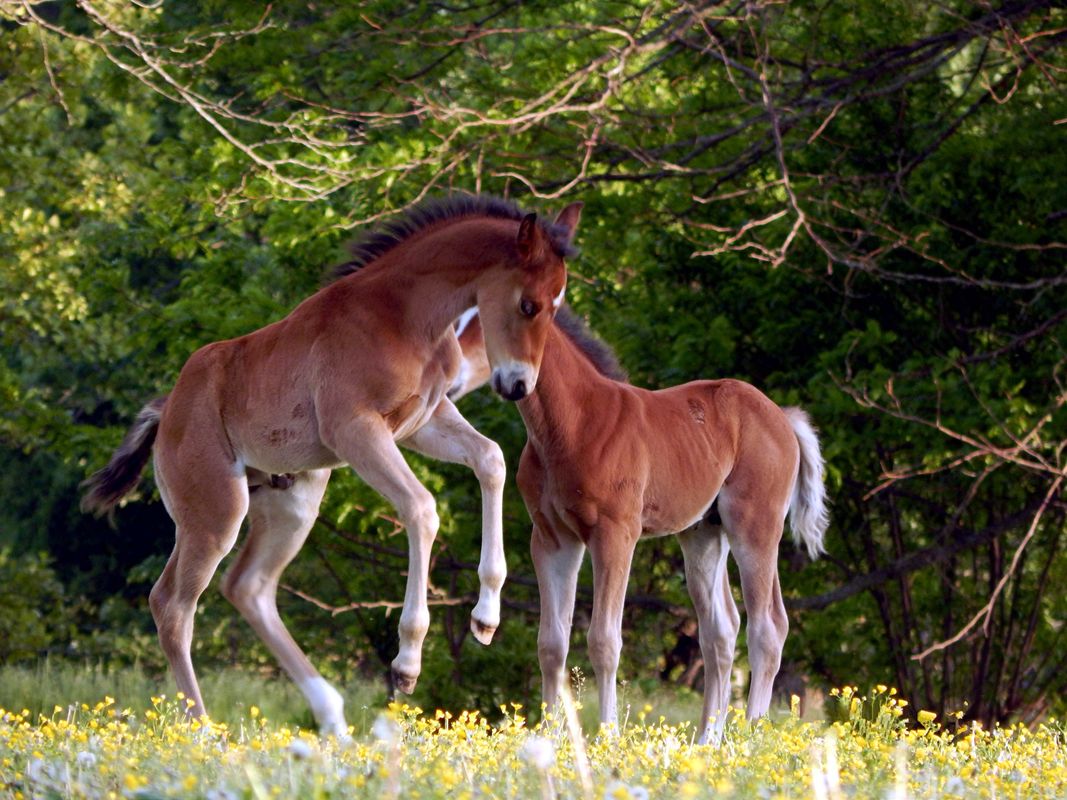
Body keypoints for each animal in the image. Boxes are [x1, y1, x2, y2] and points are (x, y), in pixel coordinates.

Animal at [83, 196, 584, 738]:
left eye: (557, 307)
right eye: (528, 304)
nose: (518, 385)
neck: (405, 313)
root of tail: (166, 409)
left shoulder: (423, 422)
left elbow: (490, 459)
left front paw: (486, 618)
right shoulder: (356, 430)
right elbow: (422, 509)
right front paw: (407, 663)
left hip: (294, 503)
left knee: (248, 587)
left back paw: (334, 722)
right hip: (215, 512)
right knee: (172, 605)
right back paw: (204, 733)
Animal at [446, 309, 827, 746]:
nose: (452, 374)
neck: (574, 423)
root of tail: (783, 418)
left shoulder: (615, 535)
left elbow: (604, 641)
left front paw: (608, 738)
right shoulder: (551, 539)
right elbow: (551, 644)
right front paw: (548, 739)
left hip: (755, 526)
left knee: (767, 628)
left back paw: (749, 739)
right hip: (703, 534)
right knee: (721, 629)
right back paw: (706, 743)